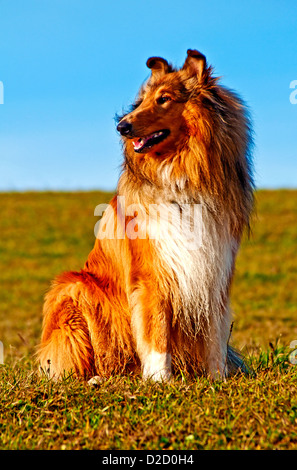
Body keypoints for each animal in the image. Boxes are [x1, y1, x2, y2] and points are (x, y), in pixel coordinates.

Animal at [38, 49, 253, 380]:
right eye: (141, 102)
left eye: (164, 99)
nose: (121, 126)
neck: (182, 173)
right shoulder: (152, 272)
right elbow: (156, 331)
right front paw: (160, 380)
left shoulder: (214, 271)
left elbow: (214, 334)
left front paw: (218, 379)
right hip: (74, 289)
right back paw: (98, 378)